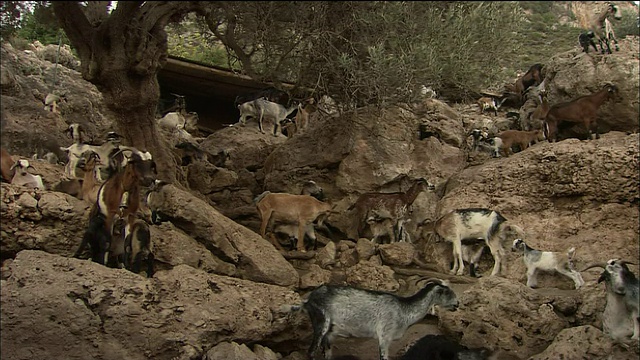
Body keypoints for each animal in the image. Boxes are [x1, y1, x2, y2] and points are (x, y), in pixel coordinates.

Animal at [296, 278, 460, 360]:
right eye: (447, 293)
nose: (457, 304)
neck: (404, 310)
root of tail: (308, 300)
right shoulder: (385, 335)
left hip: (329, 333)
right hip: (321, 321)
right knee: (311, 352)